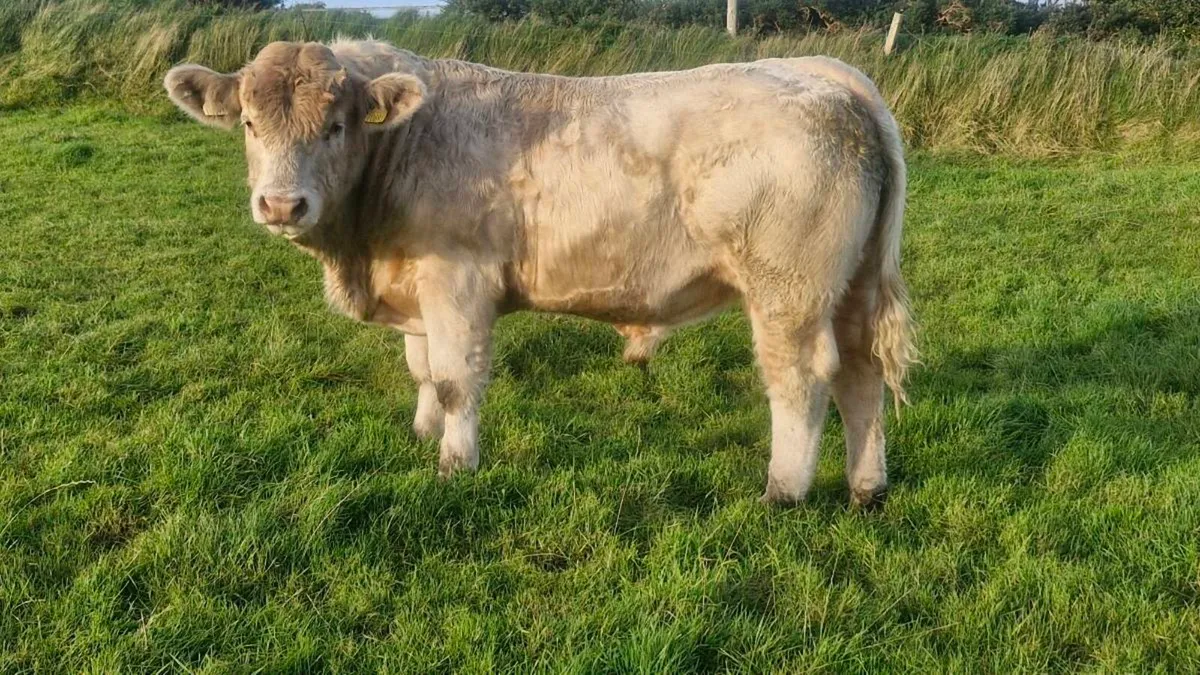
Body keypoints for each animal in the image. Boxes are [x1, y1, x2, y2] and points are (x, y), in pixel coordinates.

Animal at [162, 39, 915, 506]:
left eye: (336, 126)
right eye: (250, 124)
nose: (281, 204)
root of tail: (828, 76)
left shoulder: (459, 282)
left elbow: (455, 378)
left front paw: (455, 464)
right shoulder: (417, 290)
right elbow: (421, 369)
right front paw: (422, 434)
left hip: (788, 290)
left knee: (801, 380)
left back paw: (783, 491)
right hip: (852, 285)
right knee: (860, 375)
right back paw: (866, 488)